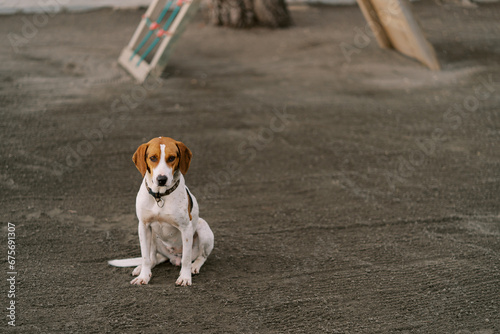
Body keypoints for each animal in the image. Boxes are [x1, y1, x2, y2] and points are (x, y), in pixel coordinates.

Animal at [108, 137, 213, 286]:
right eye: (153, 158)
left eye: (171, 158)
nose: (161, 179)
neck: (160, 196)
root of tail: (173, 257)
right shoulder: (143, 226)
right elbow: (145, 257)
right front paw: (144, 276)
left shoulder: (186, 228)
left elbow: (186, 259)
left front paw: (185, 277)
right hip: (152, 236)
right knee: (152, 259)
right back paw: (141, 268)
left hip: (202, 228)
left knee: (200, 257)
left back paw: (194, 266)